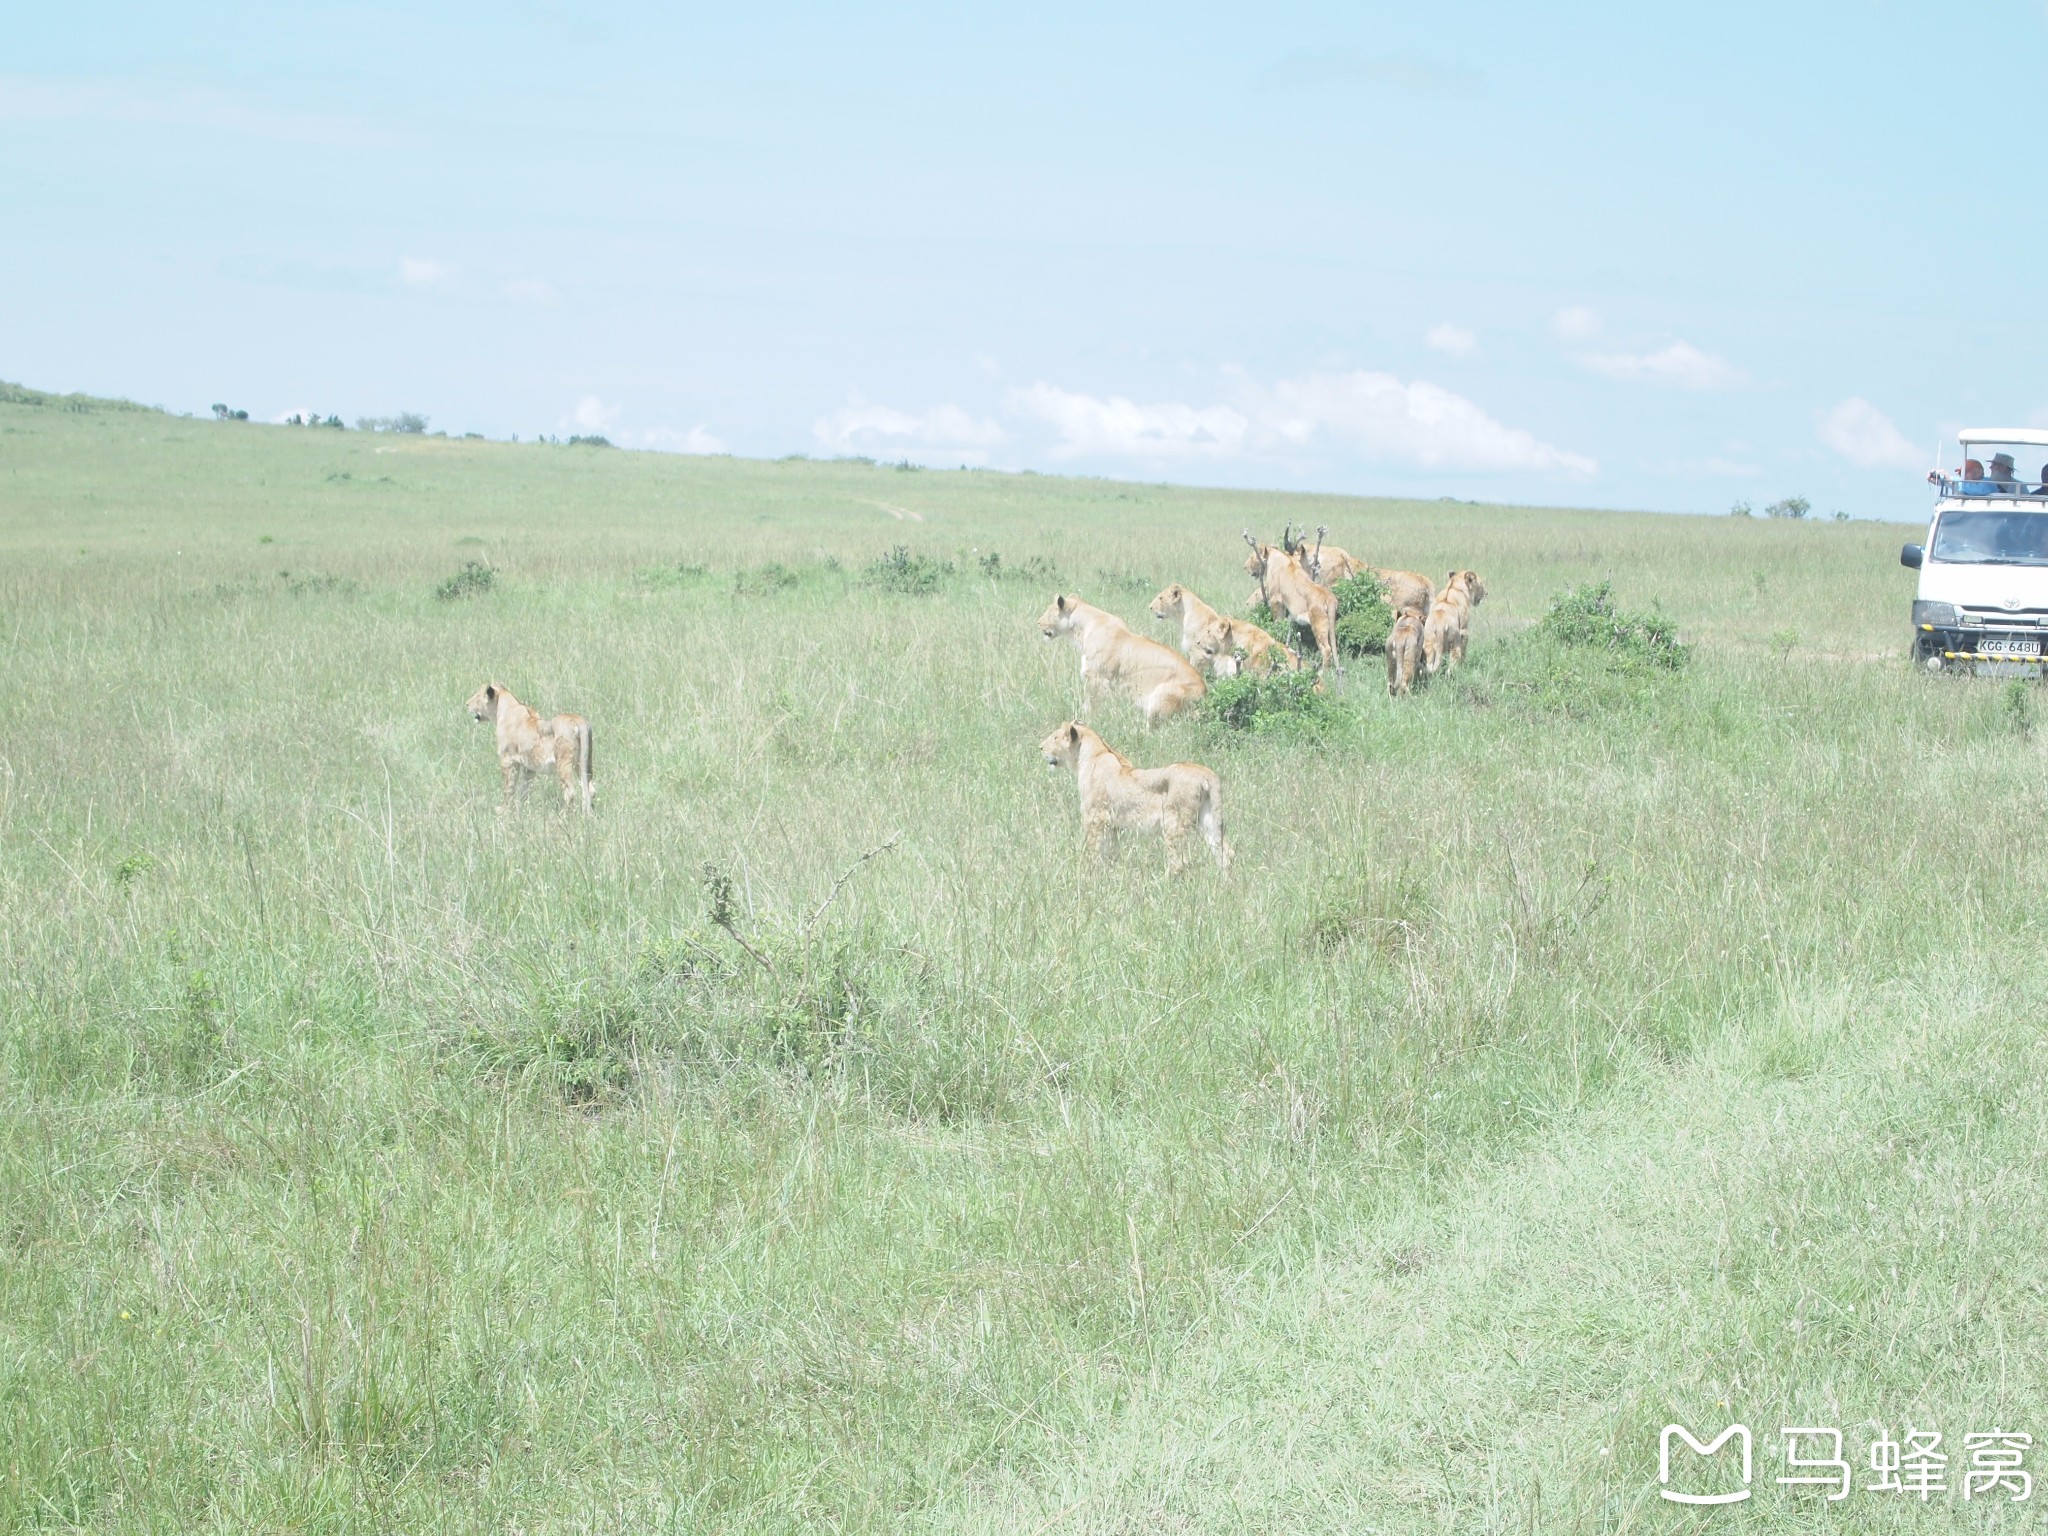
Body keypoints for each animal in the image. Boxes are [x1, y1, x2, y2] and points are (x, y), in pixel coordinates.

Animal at [464, 679, 593, 811]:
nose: (467, 704)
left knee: (570, 791)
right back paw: (587, 814)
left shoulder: (508, 759)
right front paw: (522, 810)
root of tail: (579, 721)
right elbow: (524, 789)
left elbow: (508, 787)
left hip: (563, 762)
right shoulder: (529, 767)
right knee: (589, 788)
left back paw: (565, 814)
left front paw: (504, 810)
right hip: (584, 762)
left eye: (478, 696)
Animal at [1040, 593, 1196, 729]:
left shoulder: (1097, 678)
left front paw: (1088, 722)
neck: (1081, 630)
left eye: (1048, 612)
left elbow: (1090, 705)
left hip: (1161, 694)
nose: (1038, 622)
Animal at [1040, 724, 1228, 876]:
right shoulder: (1113, 825)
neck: (1095, 753)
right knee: (1225, 853)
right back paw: (1225, 886)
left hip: (1174, 821)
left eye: (1055, 737)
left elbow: (1092, 849)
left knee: (1179, 861)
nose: (1040, 747)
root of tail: (1207, 774)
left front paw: (1089, 874)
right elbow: (1112, 853)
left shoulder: (1095, 817)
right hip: (1209, 819)